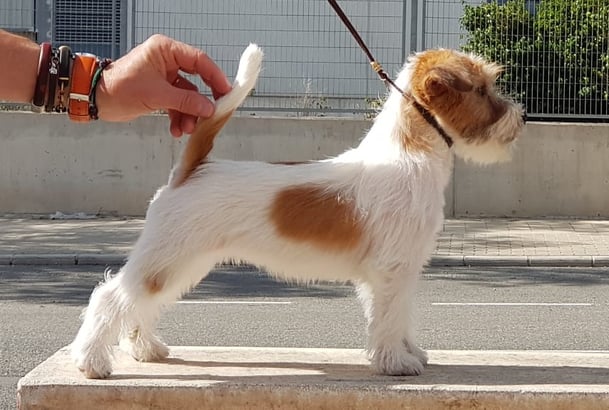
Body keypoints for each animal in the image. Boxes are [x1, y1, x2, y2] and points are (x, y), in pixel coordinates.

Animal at [71, 42, 524, 378]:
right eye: (482, 90)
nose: (520, 119)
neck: (409, 153)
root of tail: (191, 169)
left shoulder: (401, 272)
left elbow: (400, 317)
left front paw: (410, 351)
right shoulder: (392, 271)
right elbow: (389, 318)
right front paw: (396, 363)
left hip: (181, 264)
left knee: (142, 304)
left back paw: (147, 348)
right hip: (167, 258)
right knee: (110, 298)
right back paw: (91, 361)